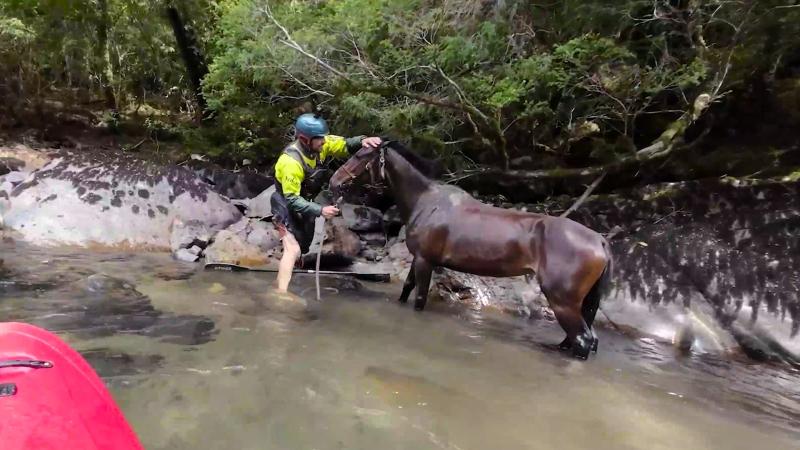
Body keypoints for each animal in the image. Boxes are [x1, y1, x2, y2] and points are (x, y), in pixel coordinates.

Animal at [329, 141, 613, 360]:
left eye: (360, 156)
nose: (334, 181)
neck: (427, 202)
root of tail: (599, 240)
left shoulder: (425, 261)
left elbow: (419, 297)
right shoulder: (418, 258)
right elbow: (406, 289)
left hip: (562, 301)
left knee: (583, 340)